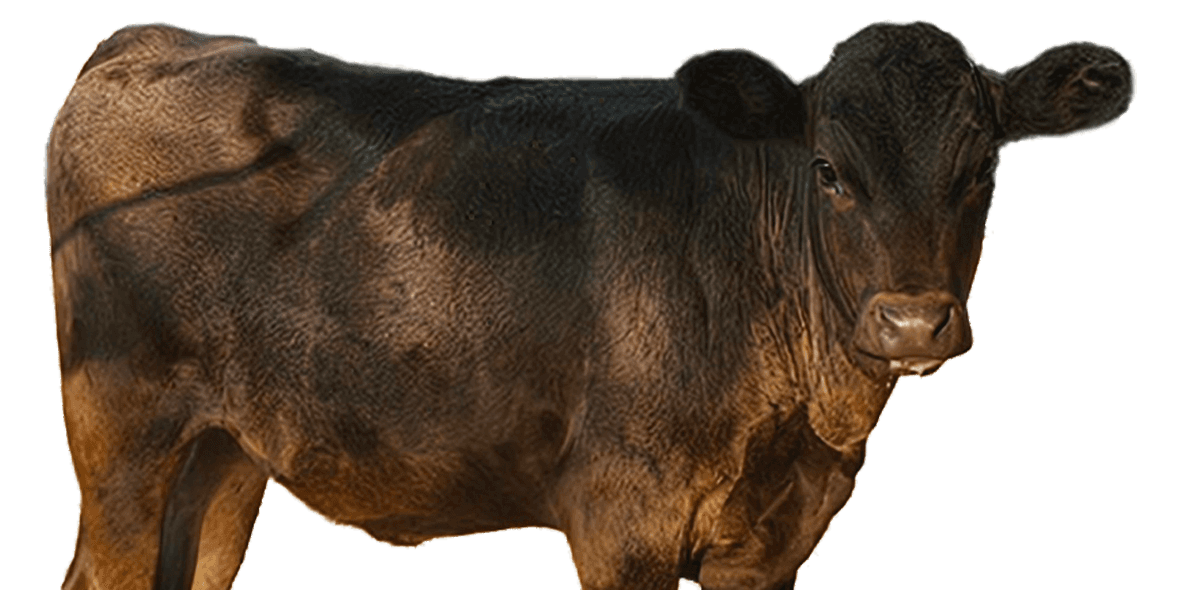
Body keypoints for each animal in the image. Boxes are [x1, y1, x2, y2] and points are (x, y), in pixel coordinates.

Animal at [45, 20, 1133, 590]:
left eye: (979, 169)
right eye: (828, 169)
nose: (909, 320)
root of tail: (154, 40)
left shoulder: (774, 541)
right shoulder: (623, 516)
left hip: (226, 451)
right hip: (123, 434)